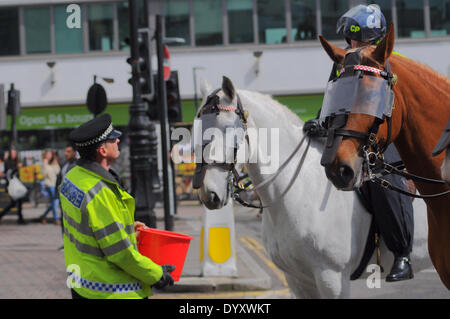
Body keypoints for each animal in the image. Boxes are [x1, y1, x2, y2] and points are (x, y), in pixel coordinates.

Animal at [197, 77, 432, 300]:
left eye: (227, 129)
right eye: (197, 127)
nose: (209, 194)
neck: (300, 189)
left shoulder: (332, 278)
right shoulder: (297, 279)